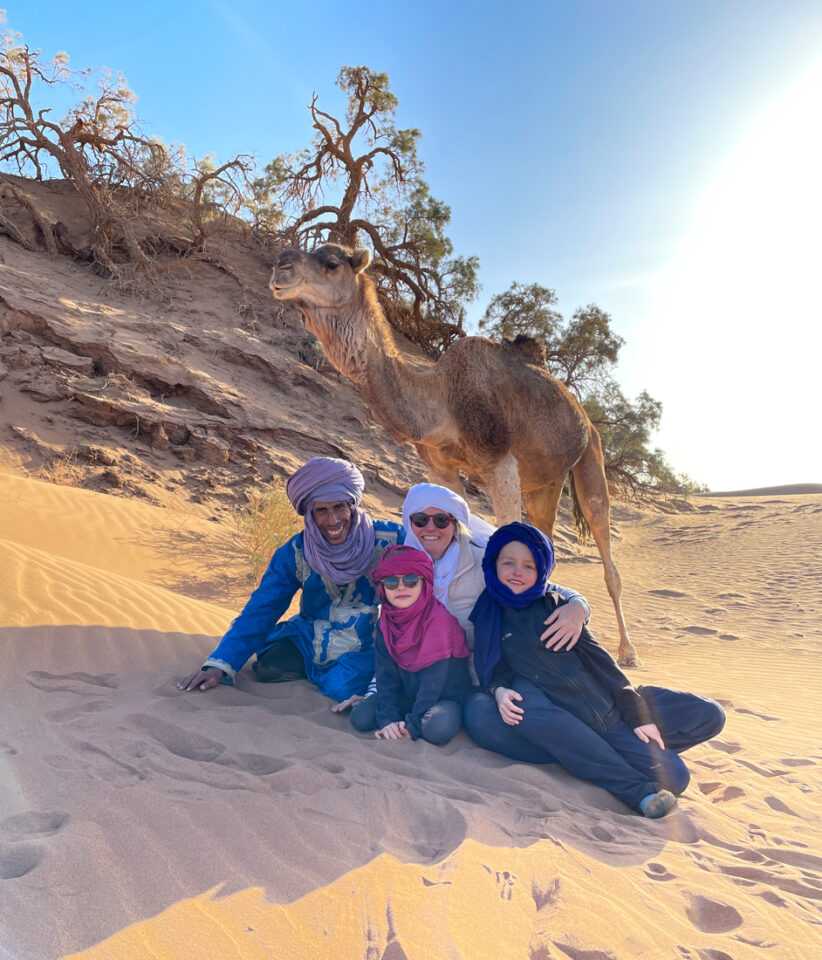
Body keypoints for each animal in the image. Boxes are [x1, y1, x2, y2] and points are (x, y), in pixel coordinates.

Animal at [274, 244, 640, 664]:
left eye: (332, 263)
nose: (280, 266)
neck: (441, 404)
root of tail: (582, 412)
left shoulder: (500, 462)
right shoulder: (440, 466)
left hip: (590, 452)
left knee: (602, 533)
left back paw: (628, 652)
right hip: (544, 483)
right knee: (544, 534)